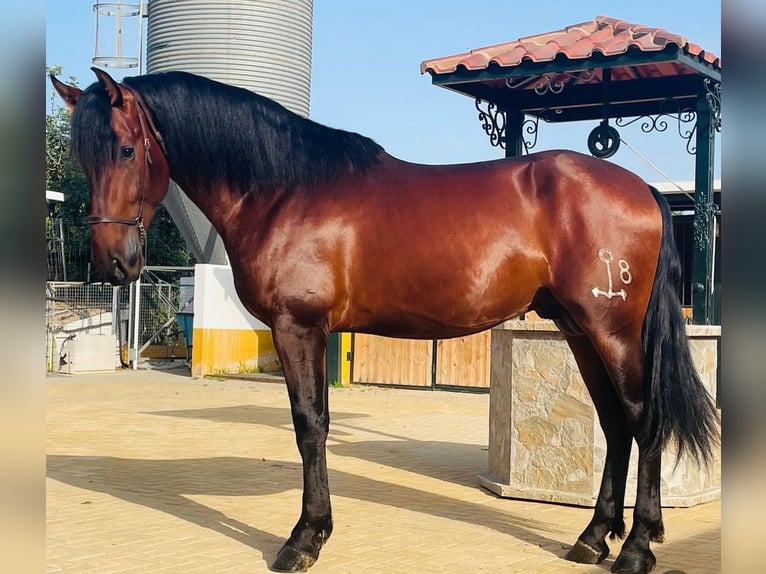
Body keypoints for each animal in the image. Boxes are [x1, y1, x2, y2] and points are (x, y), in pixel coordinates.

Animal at [49, 68, 720, 574]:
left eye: (127, 149)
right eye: (82, 155)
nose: (113, 263)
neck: (285, 190)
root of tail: (643, 190)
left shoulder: (299, 328)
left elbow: (309, 427)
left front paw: (303, 540)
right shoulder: (313, 333)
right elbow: (316, 425)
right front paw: (315, 532)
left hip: (612, 331)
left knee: (644, 419)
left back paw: (635, 549)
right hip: (580, 331)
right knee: (615, 423)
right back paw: (593, 538)